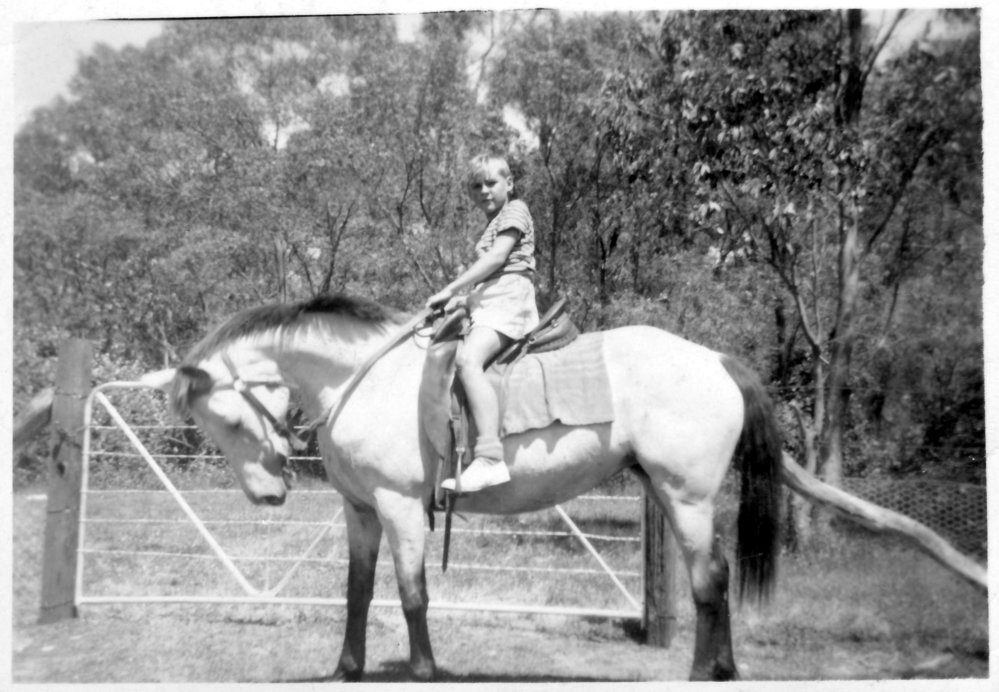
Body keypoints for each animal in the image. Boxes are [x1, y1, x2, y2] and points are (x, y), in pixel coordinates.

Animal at [151, 293, 782, 682]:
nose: (266, 496)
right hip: (672, 494)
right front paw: (347, 669)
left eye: (229, 422)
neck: (363, 379)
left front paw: (424, 671)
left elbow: (412, 594)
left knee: (707, 582)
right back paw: (723, 671)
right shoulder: (361, 511)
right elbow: (357, 591)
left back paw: (702, 673)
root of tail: (718, 360)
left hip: (686, 496)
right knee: (718, 574)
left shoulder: (400, 507)